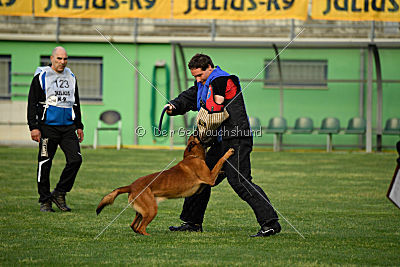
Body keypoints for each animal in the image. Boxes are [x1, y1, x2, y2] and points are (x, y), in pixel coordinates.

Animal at [97, 136, 234, 237]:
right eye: (197, 135)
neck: (192, 156)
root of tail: (131, 186)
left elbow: (218, 168)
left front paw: (223, 171)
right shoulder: (210, 178)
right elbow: (220, 161)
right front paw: (228, 152)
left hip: (142, 210)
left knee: (133, 226)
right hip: (151, 210)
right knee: (140, 227)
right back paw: (148, 235)